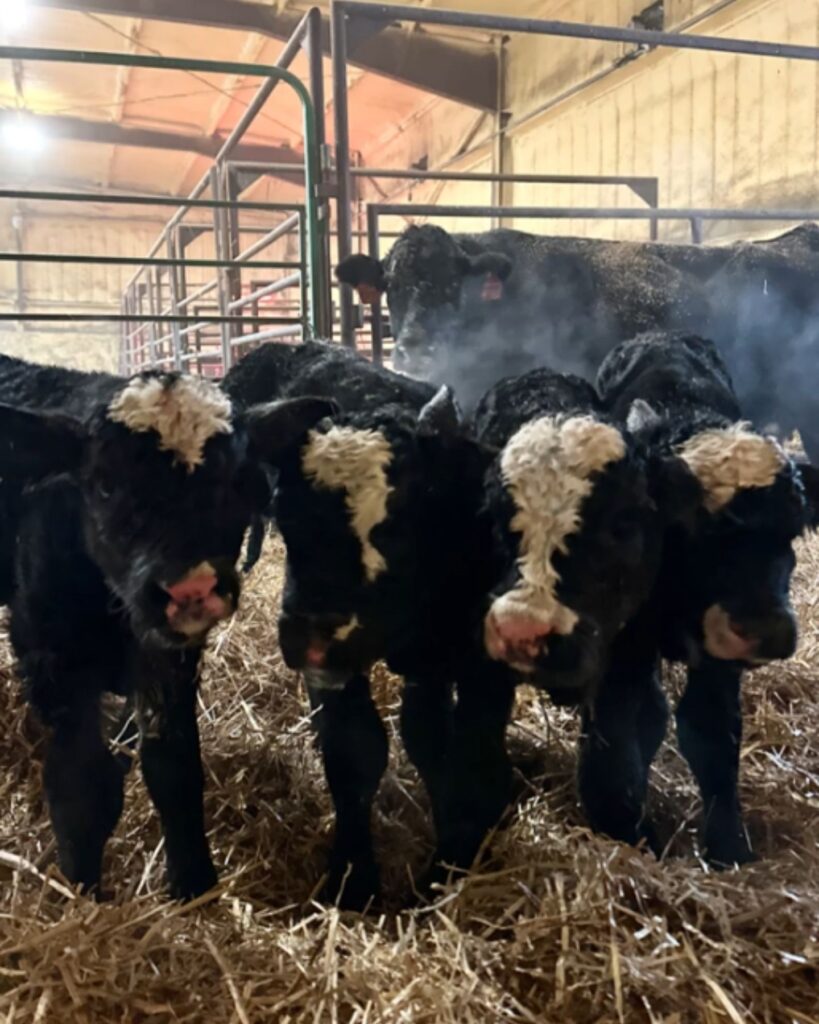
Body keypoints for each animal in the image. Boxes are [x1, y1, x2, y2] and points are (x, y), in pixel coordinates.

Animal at [0, 352, 334, 899]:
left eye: (237, 482)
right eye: (105, 485)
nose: (191, 587)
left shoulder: (169, 659)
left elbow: (173, 768)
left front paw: (193, 884)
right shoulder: (50, 654)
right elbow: (80, 785)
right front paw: (84, 893)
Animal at [593, 331, 819, 865]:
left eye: (792, 531)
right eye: (696, 528)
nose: (768, 631)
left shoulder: (719, 665)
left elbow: (710, 730)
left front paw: (728, 844)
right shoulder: (624, 644)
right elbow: (622, 725)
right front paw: (621, 828)